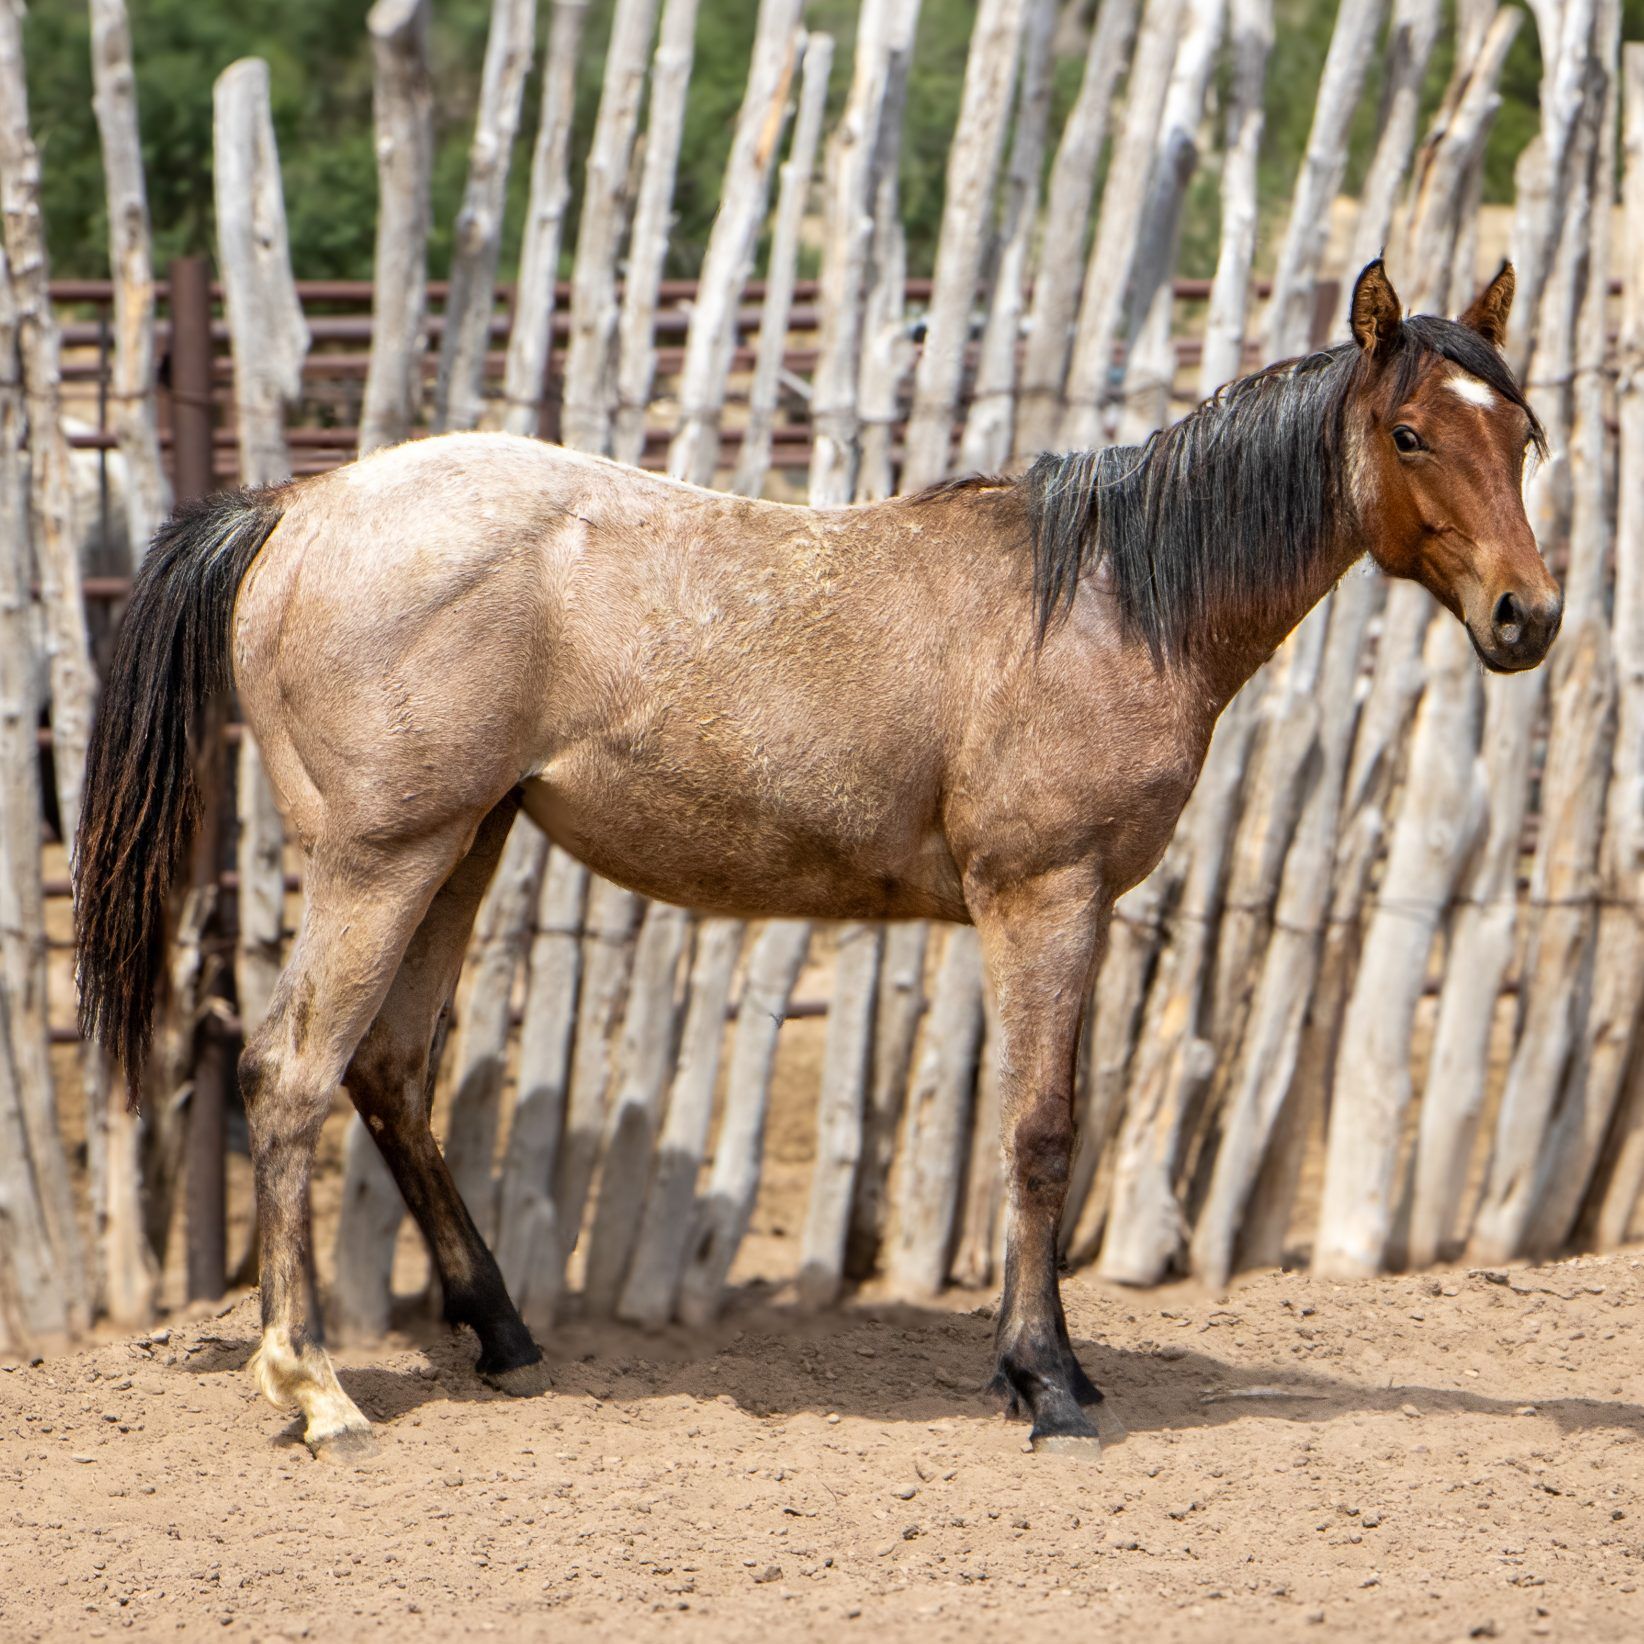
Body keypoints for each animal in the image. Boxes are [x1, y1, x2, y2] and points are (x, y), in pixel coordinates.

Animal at [74, 259, 1558, 1457]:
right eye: (1411, 433)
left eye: (1525, 431)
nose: (1526, 617)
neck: (1108, 601)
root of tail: (300, 505)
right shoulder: (1046, 897)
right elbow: (1040, 1132)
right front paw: (1048, 1384)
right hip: (379, 858)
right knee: (289, 1075)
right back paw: (314, 1386)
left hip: (460, 848)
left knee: (386, 1073)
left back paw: (501, 1337)